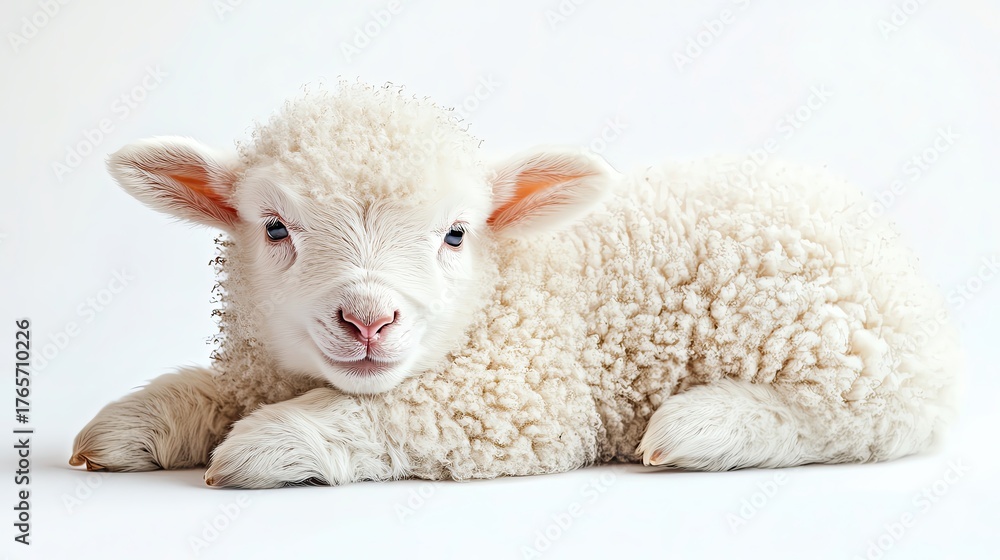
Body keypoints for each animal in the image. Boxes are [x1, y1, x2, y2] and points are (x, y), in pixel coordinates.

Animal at [70, 82, 961, 489]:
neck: (504, 288)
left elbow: (391, 412)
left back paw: (703, 426)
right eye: (276, 229)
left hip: (848, 355)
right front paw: (135, 425)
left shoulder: (520, 401)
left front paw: (268, 444)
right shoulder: (263, 364)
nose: (368, 320)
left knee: (851, 423)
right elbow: (215, 389)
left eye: (456, 234)